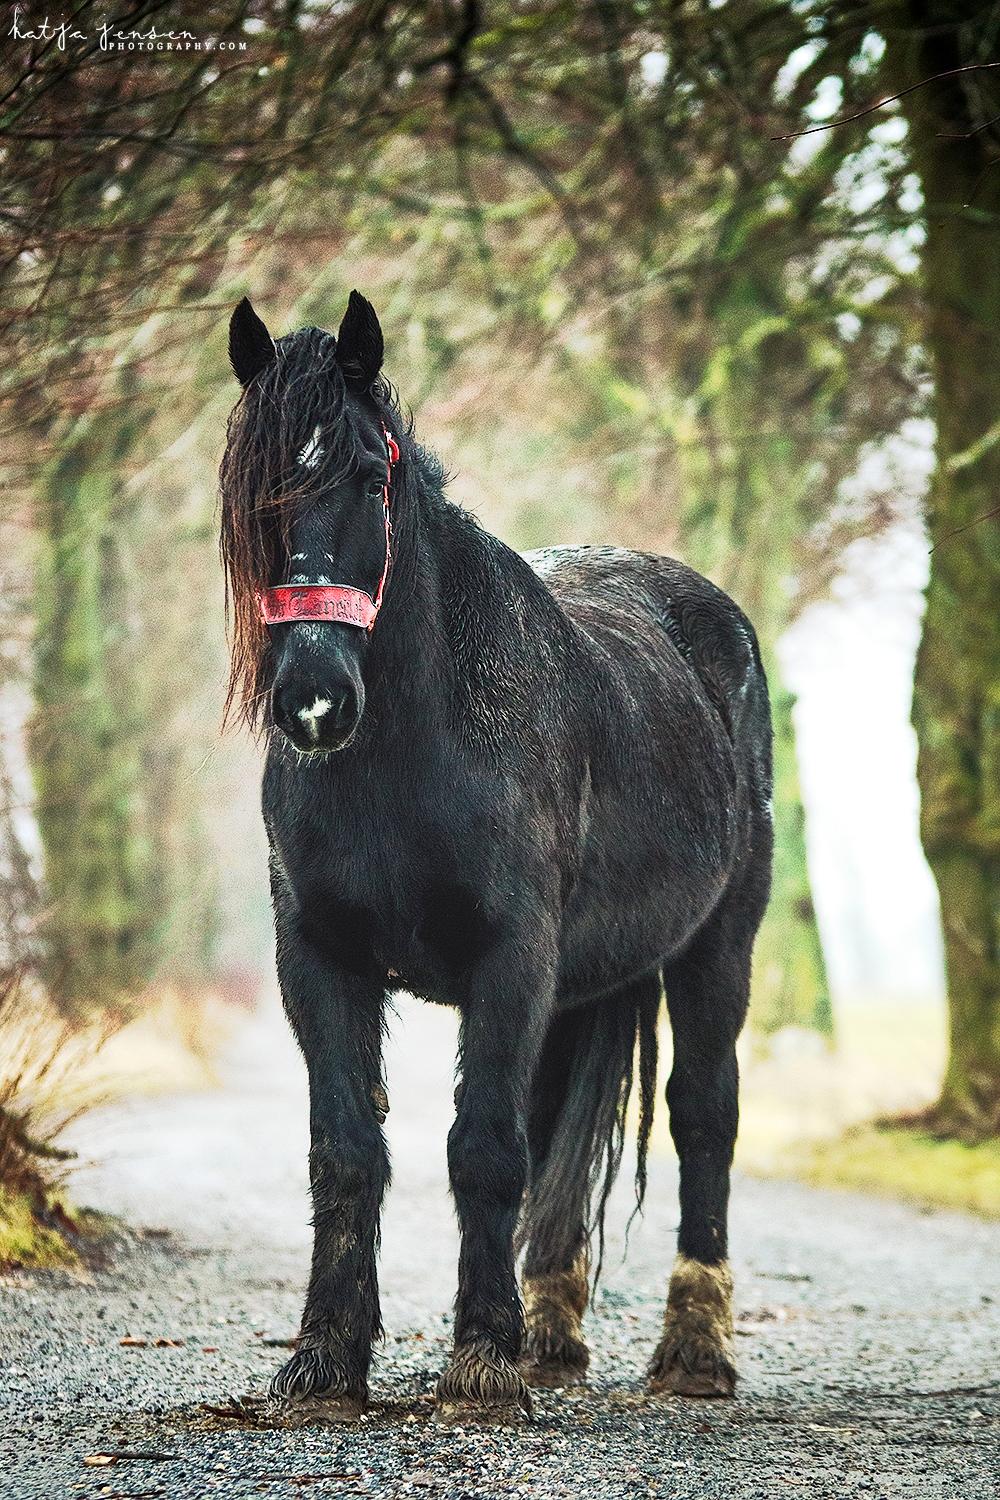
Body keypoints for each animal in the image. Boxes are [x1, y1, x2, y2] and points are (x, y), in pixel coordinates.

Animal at [220, 289, 773, 1416]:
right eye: (253, 491)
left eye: (369, 475)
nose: (313, 698)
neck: (415, 750)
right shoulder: (320, 961)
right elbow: (348, 1153)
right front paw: (325, 1362)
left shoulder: (508, 960)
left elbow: (482, 1150)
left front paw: (478, 1364)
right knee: (562, 1122)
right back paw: (552, 1334)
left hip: (717, 949)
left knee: (703, 1118)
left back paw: (693, 1353)